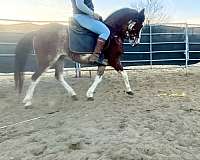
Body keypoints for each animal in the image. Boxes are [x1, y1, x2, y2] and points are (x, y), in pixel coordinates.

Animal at [14, 8, 145, 107]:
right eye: (139, 24)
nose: (136, 42)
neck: (113, 33)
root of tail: (37, 32)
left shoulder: (103, 62)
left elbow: (98, 78)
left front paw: (90, 94)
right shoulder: (113, 60)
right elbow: (124, 74)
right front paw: (129, 90)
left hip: (60, 59)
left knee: (58, 76)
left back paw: (73, 94)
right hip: (47, 60)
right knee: (35, 77)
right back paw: (28, 101)